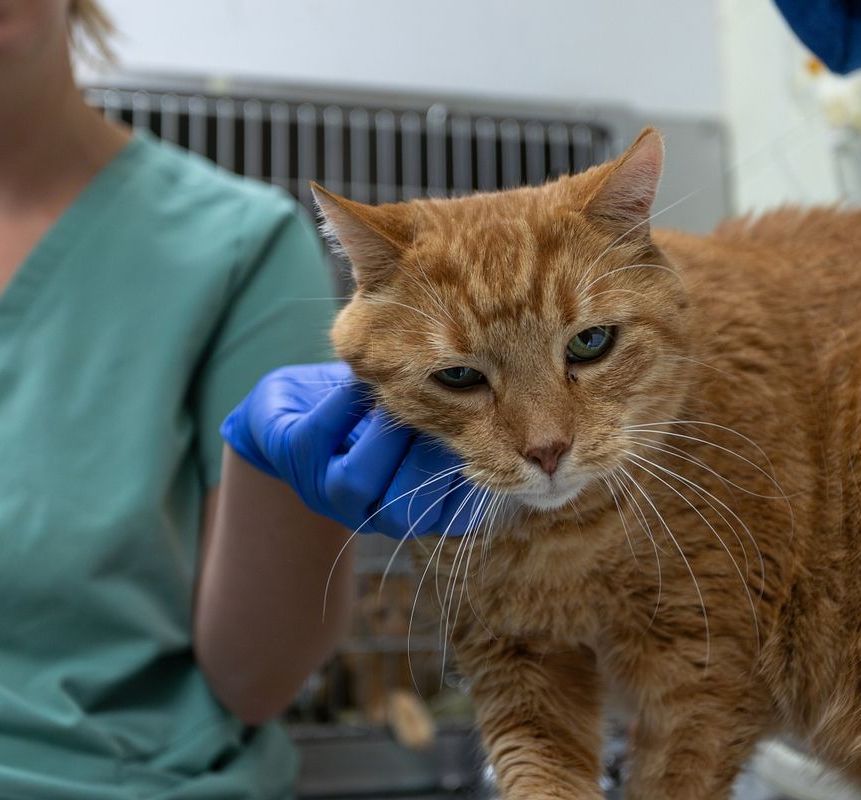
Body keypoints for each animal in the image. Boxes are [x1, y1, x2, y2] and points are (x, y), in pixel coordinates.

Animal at [310, 131, 860, 800]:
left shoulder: (700, 684)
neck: (562, 546)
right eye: (459, 376)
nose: (547, 449)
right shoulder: (519, 672)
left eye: (590, 343)